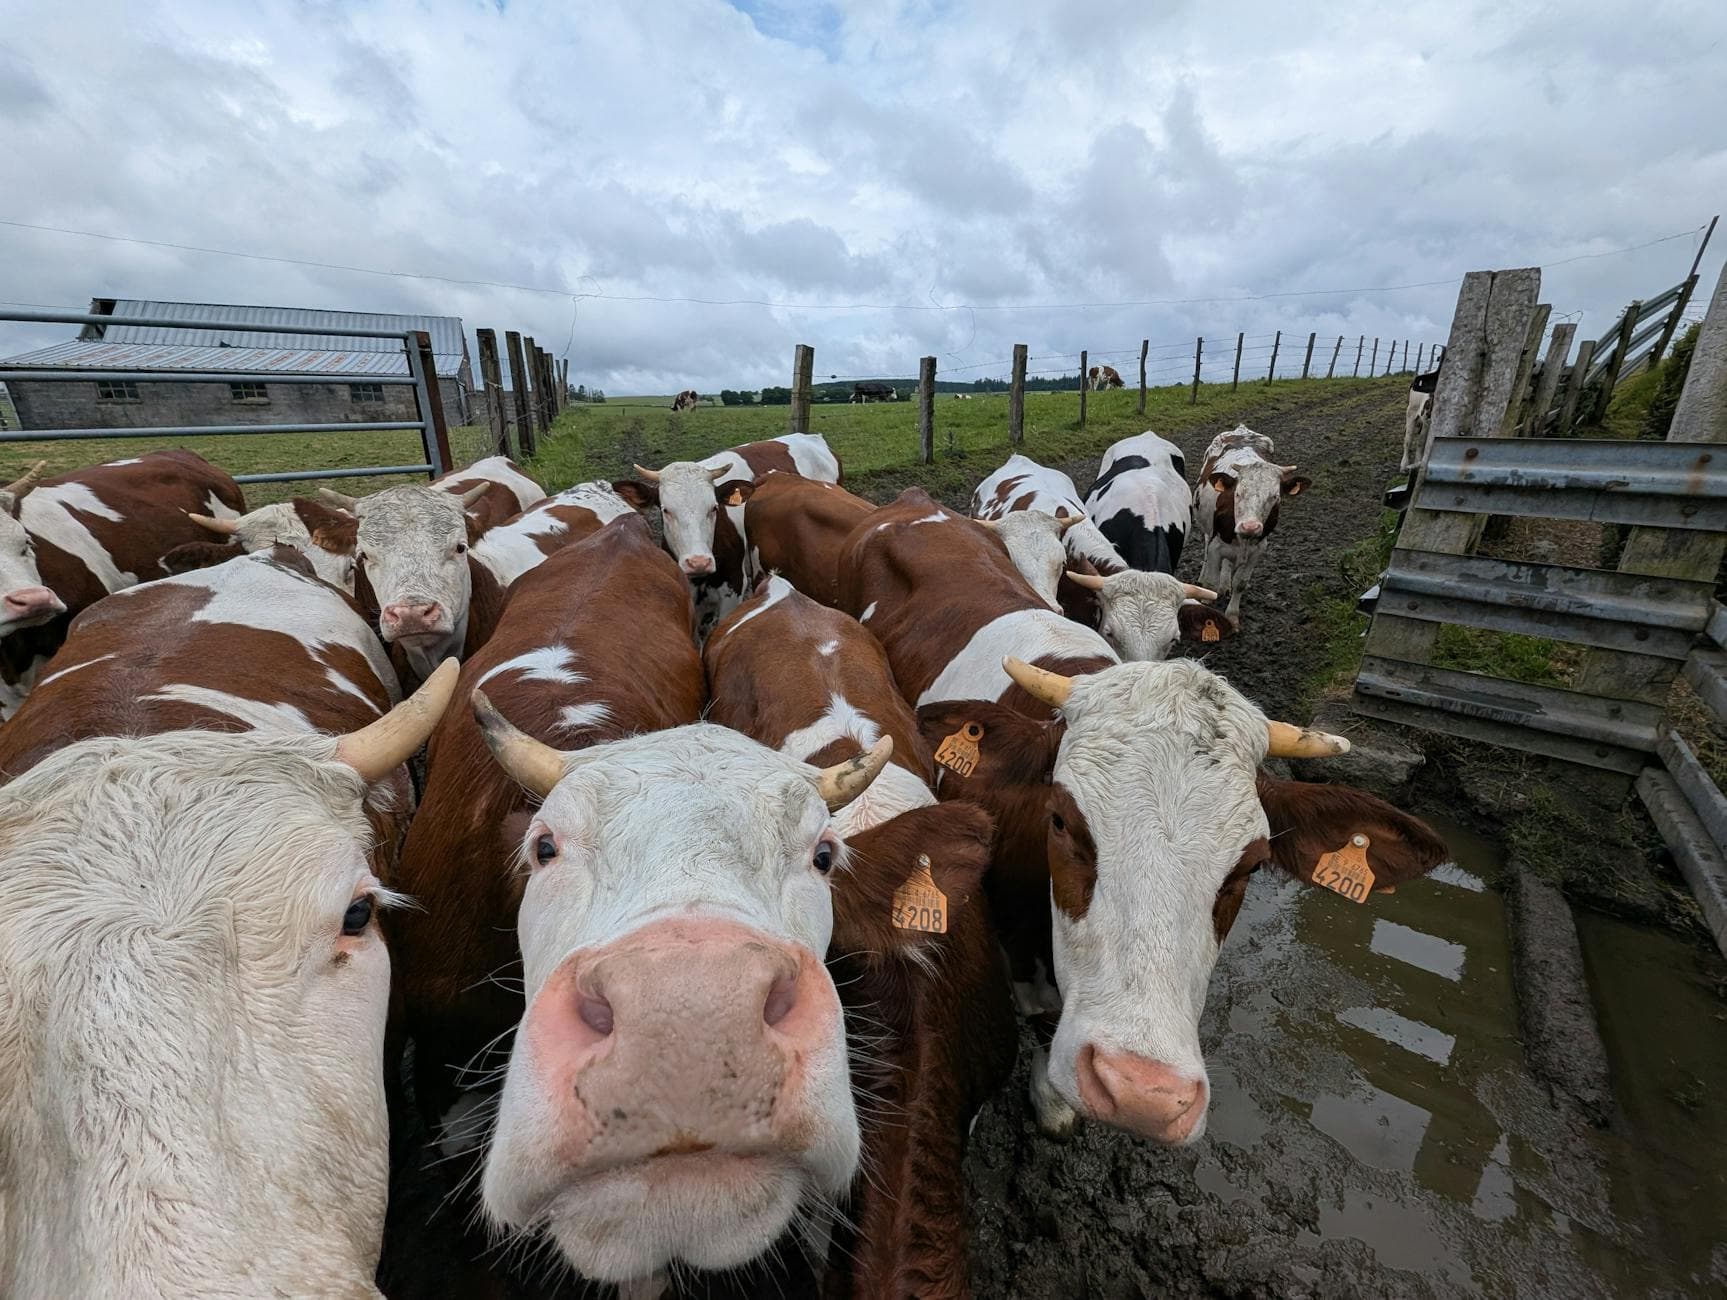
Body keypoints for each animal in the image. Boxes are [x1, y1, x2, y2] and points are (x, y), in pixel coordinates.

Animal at [1193, 425, 1310, 618]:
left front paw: (1232, 616)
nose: (1250, 527)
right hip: (1207, 529)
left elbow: (1240, 583)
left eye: (1275, 497)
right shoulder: (1215, 545)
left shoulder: (1258, 550)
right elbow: (1210, 582)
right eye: (1237, 493)